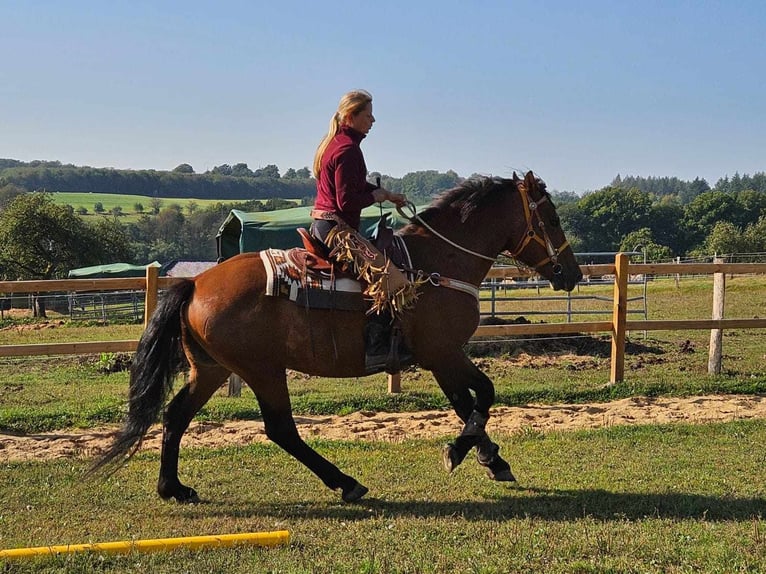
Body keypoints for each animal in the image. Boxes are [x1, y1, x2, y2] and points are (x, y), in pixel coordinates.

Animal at [93, 170, 584, 504]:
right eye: (551, 216)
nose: (572, 273)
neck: (437, 264)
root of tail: (196, 284)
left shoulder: (442, 357)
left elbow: (470, 405)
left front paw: (490, 459)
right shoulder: (442, 353)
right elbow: (482, 396)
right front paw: (463, 453)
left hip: (212, 369)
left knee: (175, 416)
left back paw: (173, 487)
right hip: (262, 369)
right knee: (281, 429)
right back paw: (346, 483)